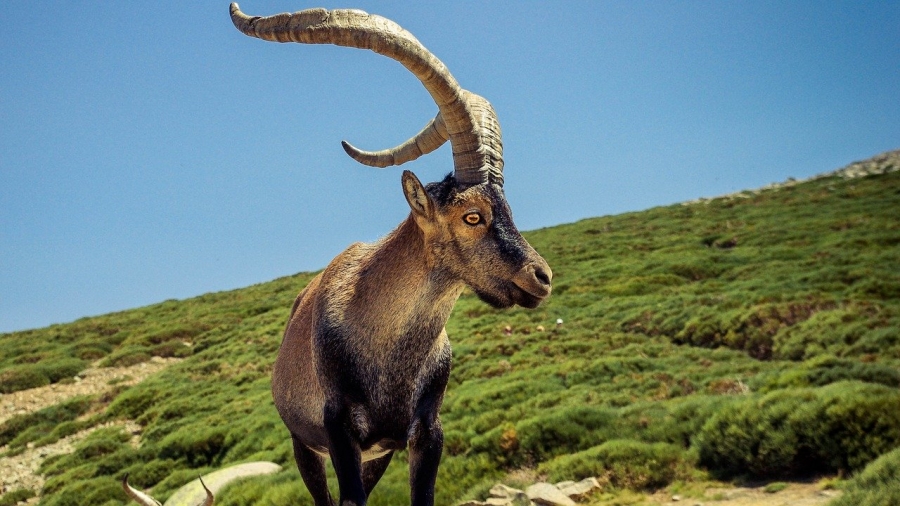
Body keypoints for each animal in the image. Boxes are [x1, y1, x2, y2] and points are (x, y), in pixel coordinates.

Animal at [128, 5, 552, 506]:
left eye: (508, 208)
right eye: (472, 215)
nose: (541, 277)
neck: (386, 351)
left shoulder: (424, 434)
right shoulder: (339, 432)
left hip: (376, 457)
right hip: (304, 445)